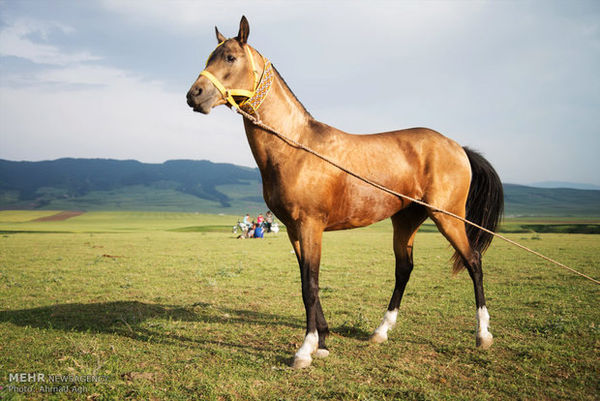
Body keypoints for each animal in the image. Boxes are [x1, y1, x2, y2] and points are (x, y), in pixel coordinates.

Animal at [185, 16, 504, 368]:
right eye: (209, 57)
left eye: (230, 57)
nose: (194, 95)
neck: (296, 147)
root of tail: (457, 147)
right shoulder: (295, 230)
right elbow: (307, 282)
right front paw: (322, 341)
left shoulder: (310, 225)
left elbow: (310, 285)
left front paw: (306, 349)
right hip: (406, 219)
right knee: (404, 268)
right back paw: (381, 332)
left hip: (448, 217)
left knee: (473, 261)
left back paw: (483, 334)